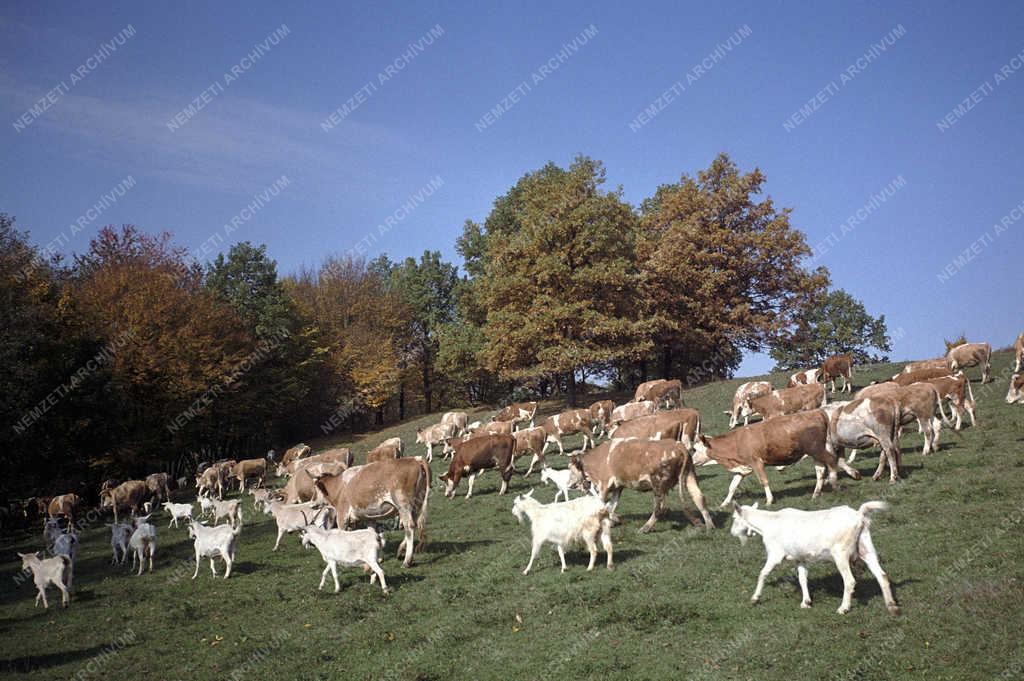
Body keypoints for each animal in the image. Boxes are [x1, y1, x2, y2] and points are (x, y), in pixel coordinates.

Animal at [569, 436, 712, 532]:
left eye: (571, 470)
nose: (570, 485)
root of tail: (678, 446)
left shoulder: (603, 485)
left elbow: (602, 504)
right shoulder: (618, 487)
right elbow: (611, 505)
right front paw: (613, 520)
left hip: (658, 484)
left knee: (659, 508)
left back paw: (646, 527)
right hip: (689, 476)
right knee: (699, 497)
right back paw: (710, 525)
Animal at [688, 405, 856, 507]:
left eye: (695, 449)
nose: (691, 460)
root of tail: (817, 412)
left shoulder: (756, 462)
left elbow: (764, 481)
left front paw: (769, 500)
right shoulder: (742, 467)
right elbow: (732, 487)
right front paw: (724, 503)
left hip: (817, 449)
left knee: (832, 461)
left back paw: (834, 482)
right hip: (815, 452)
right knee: (821, 470)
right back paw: (815, 494)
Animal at [733, 499, 901, 614]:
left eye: (734, 518)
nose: (732, 533)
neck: (768, 523)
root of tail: (859, 515)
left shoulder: (775, 554)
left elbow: (763, 573)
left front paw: (755, 598)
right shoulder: (800, 558)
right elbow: (802, 578)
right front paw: (806, 602)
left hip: (840, 553)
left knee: (850, 581)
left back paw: (843, 608)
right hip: (865, 547)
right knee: (882, 575)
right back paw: (892, 606)